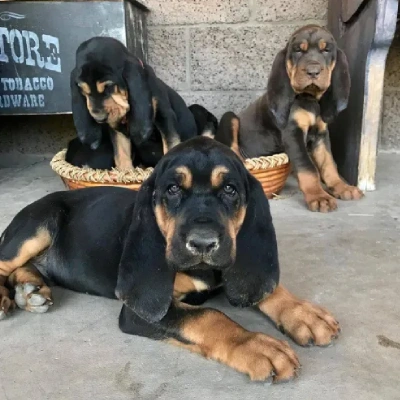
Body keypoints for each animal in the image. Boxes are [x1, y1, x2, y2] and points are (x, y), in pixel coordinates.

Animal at [0, 138, 340, 382]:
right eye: (173, 189)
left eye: (230, 189)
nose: (202, 243)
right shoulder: (140, 310)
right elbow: (209, 316)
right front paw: (253, 344)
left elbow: (265, 287)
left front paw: (302, 313)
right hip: (37, 226)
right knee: (5, 264)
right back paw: (9, 298)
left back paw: (30, 290)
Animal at [71, 36, 198, 170]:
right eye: (82, 89)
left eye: (109, 86)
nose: (99, 119)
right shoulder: (116, 126)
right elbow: (121, 152)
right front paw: (124, 171)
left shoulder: (164, 116)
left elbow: (170, 144)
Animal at [217, 24, 364, 212]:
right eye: (298, 50)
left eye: (326, 50)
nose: (313, 71)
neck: (309, 99)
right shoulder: (293, 134)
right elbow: (308, 167)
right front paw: (319, 196)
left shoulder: (321, 136)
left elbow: (329, 164)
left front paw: (341, 187)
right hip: (230, 117)